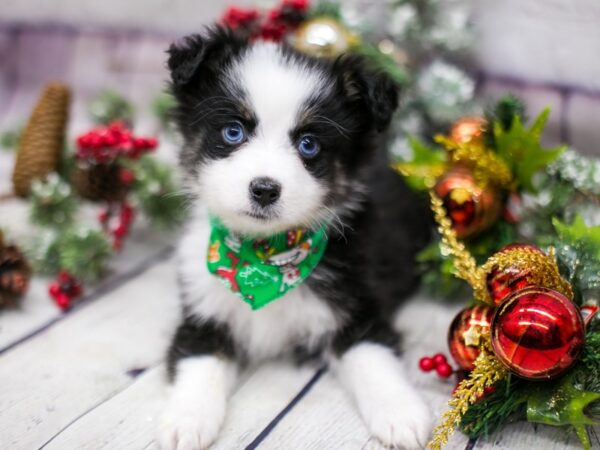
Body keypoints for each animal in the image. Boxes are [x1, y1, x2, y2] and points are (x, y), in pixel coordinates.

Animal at [159, 27, 432, 450]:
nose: (264, 189)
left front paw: (401, 414)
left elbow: (374, 355)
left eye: (309, 144)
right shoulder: (203, 309)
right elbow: (197, 359)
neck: (264, 255)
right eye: (233, 131)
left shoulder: (357, 304)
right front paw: (186, 420)